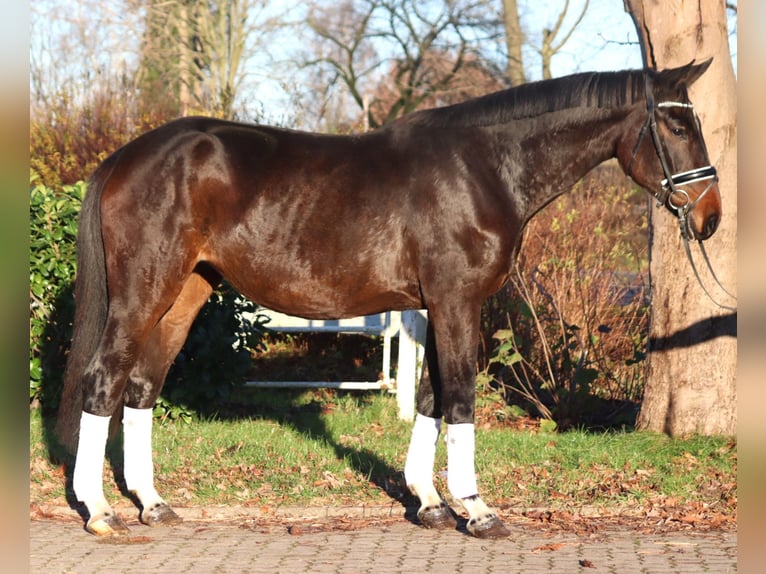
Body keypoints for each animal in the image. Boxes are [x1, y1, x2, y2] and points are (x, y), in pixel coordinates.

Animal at [57, 59, 724, 540]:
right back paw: (100, 511)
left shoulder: (436, 304)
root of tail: (125, 157)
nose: (711, 217)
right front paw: (477, 510)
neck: (485, 167)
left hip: (186, 292)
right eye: (676, 126)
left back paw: (152, 503)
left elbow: (430, 396)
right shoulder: (457, 300)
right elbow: (460, 398)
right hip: (144, 291)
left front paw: (429, 502)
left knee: (141, 386)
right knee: (104, 380)